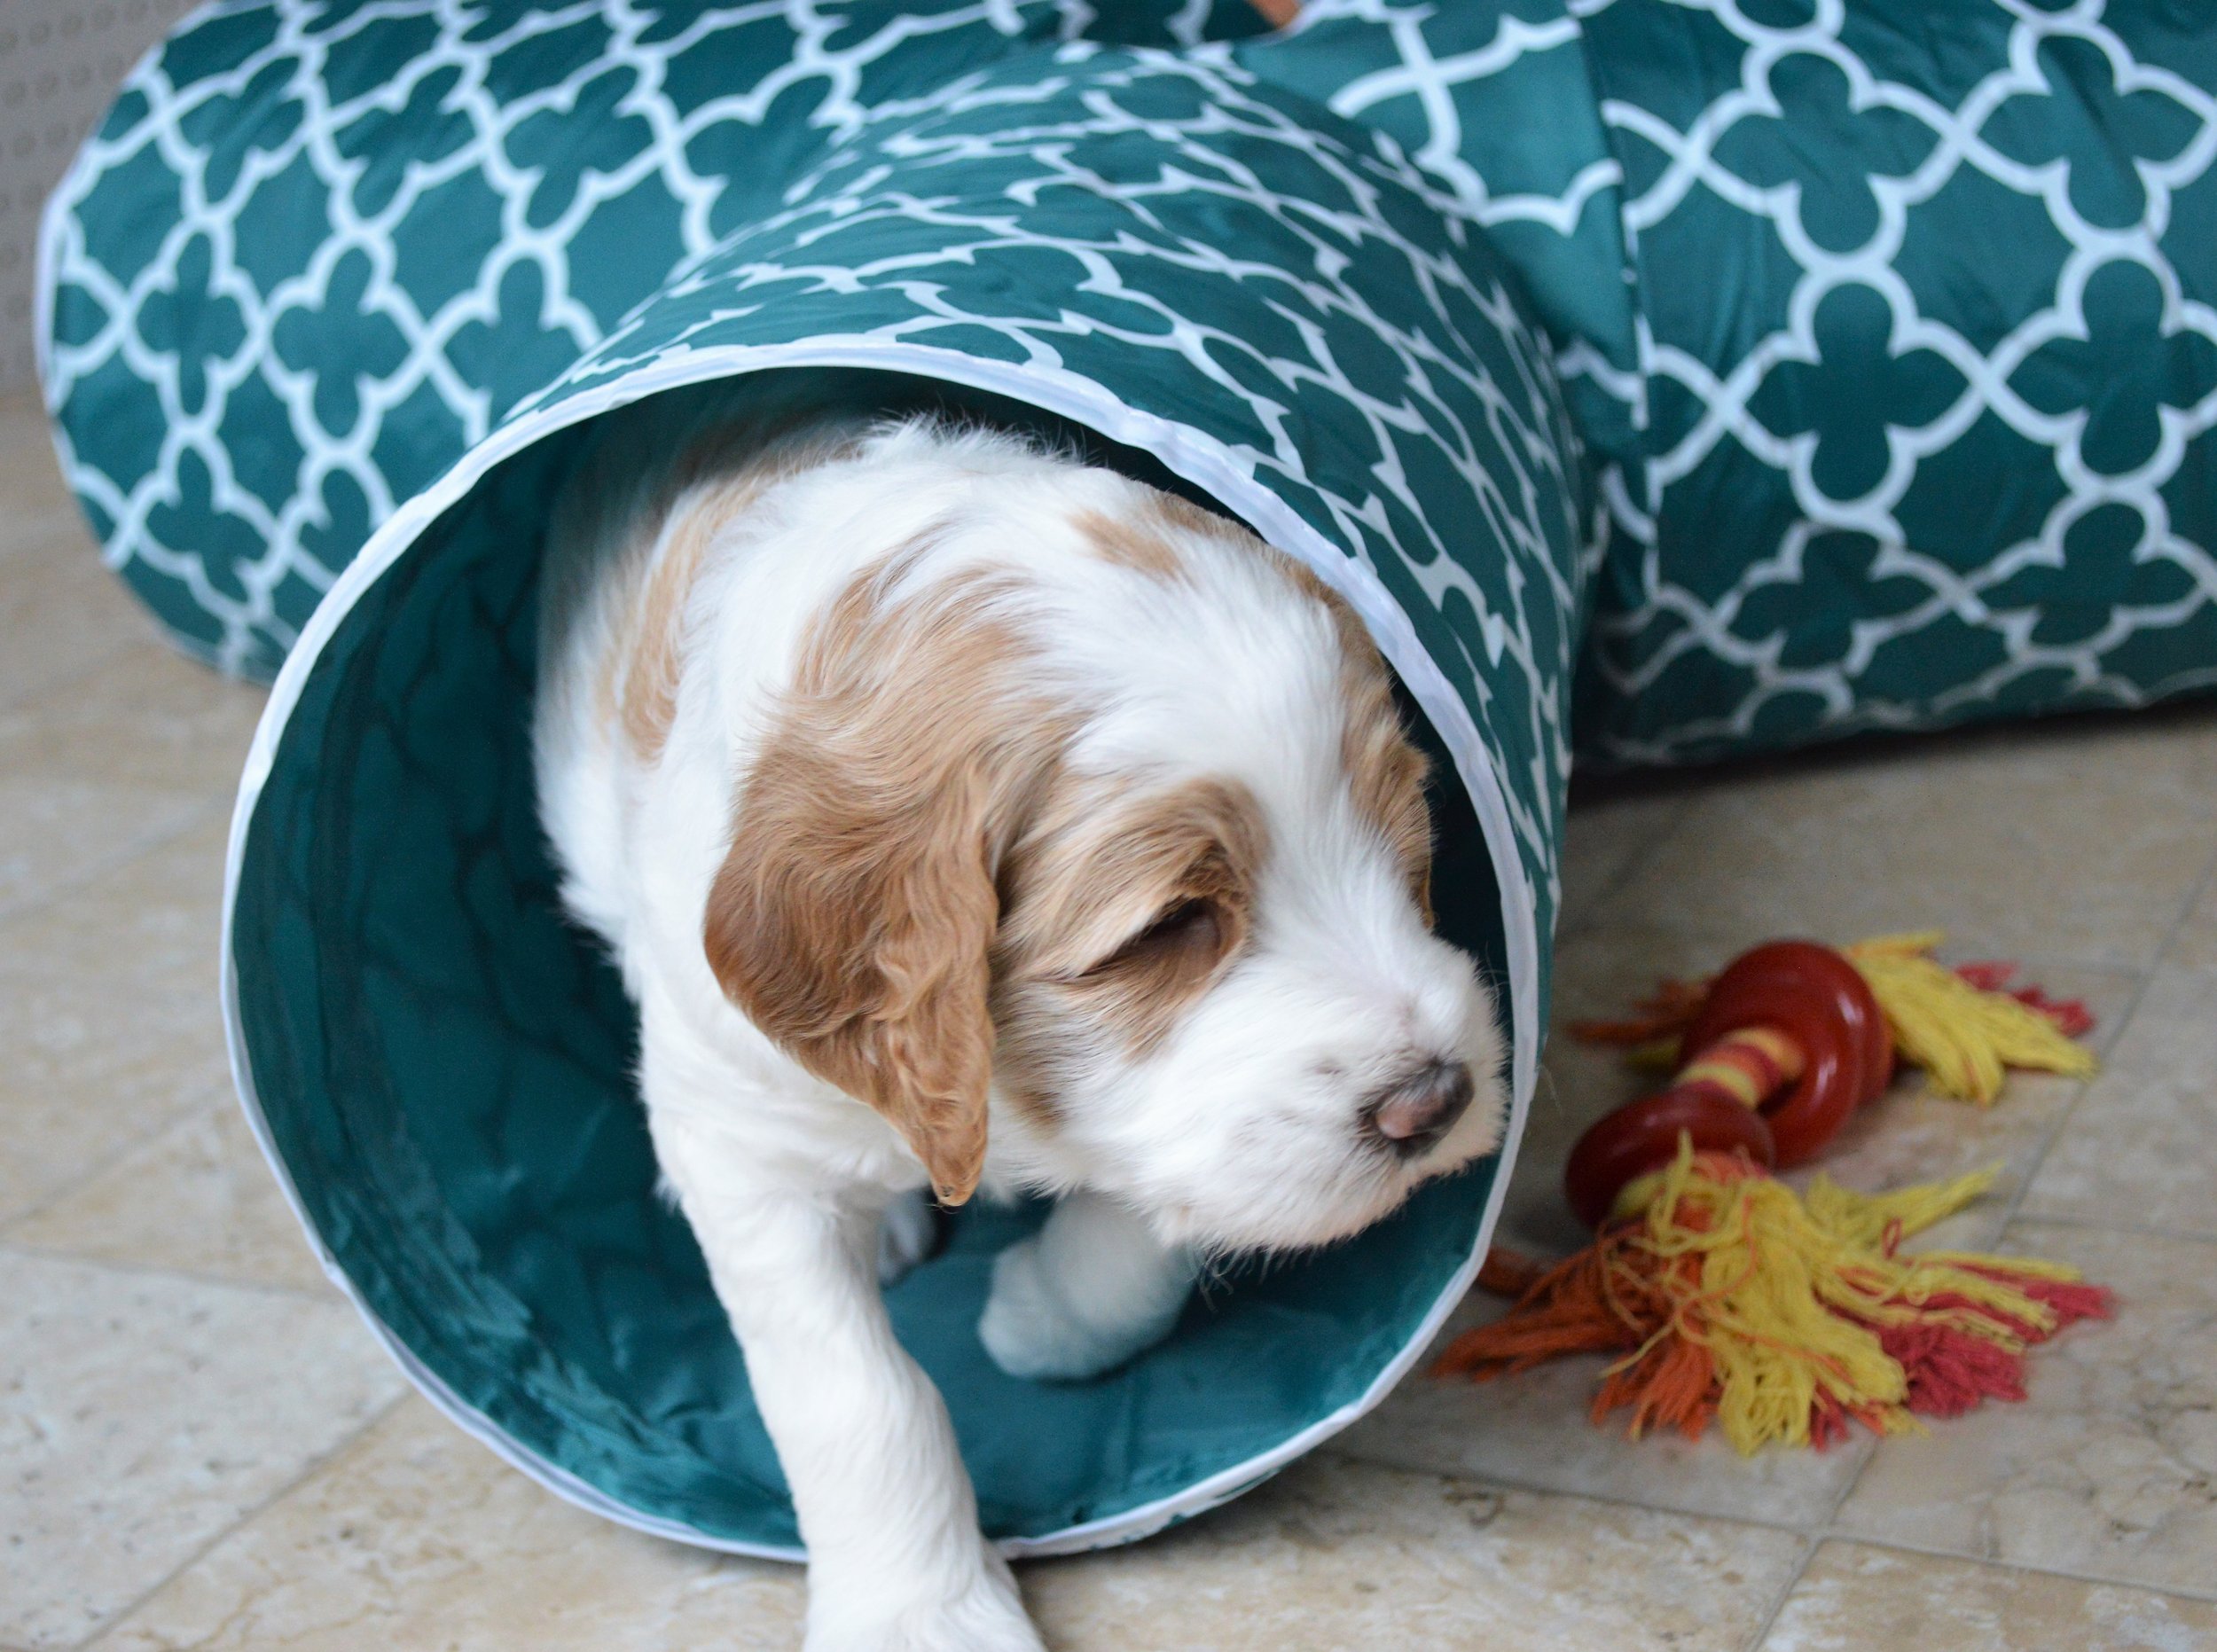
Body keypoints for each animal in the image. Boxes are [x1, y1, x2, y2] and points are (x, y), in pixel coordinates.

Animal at [532, 403, 1508, 1649]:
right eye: (1168, 925)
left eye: (1405, 841)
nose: (1437, 1101)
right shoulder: (736, 1131)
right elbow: (855, 1393)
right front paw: (920, 1614)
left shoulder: (1170, 1112)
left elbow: (1146, 1207)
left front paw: (1042, 1325)